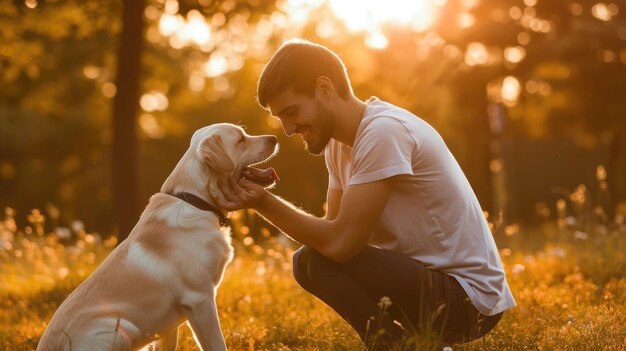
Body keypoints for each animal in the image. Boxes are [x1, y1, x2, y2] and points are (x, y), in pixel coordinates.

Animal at [36, 122, 276, 350]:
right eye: (240, 140)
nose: (274, 138)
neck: (196, 201)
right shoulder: (200, 299)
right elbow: (217, 344)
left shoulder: (174, 320)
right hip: (122, 327)